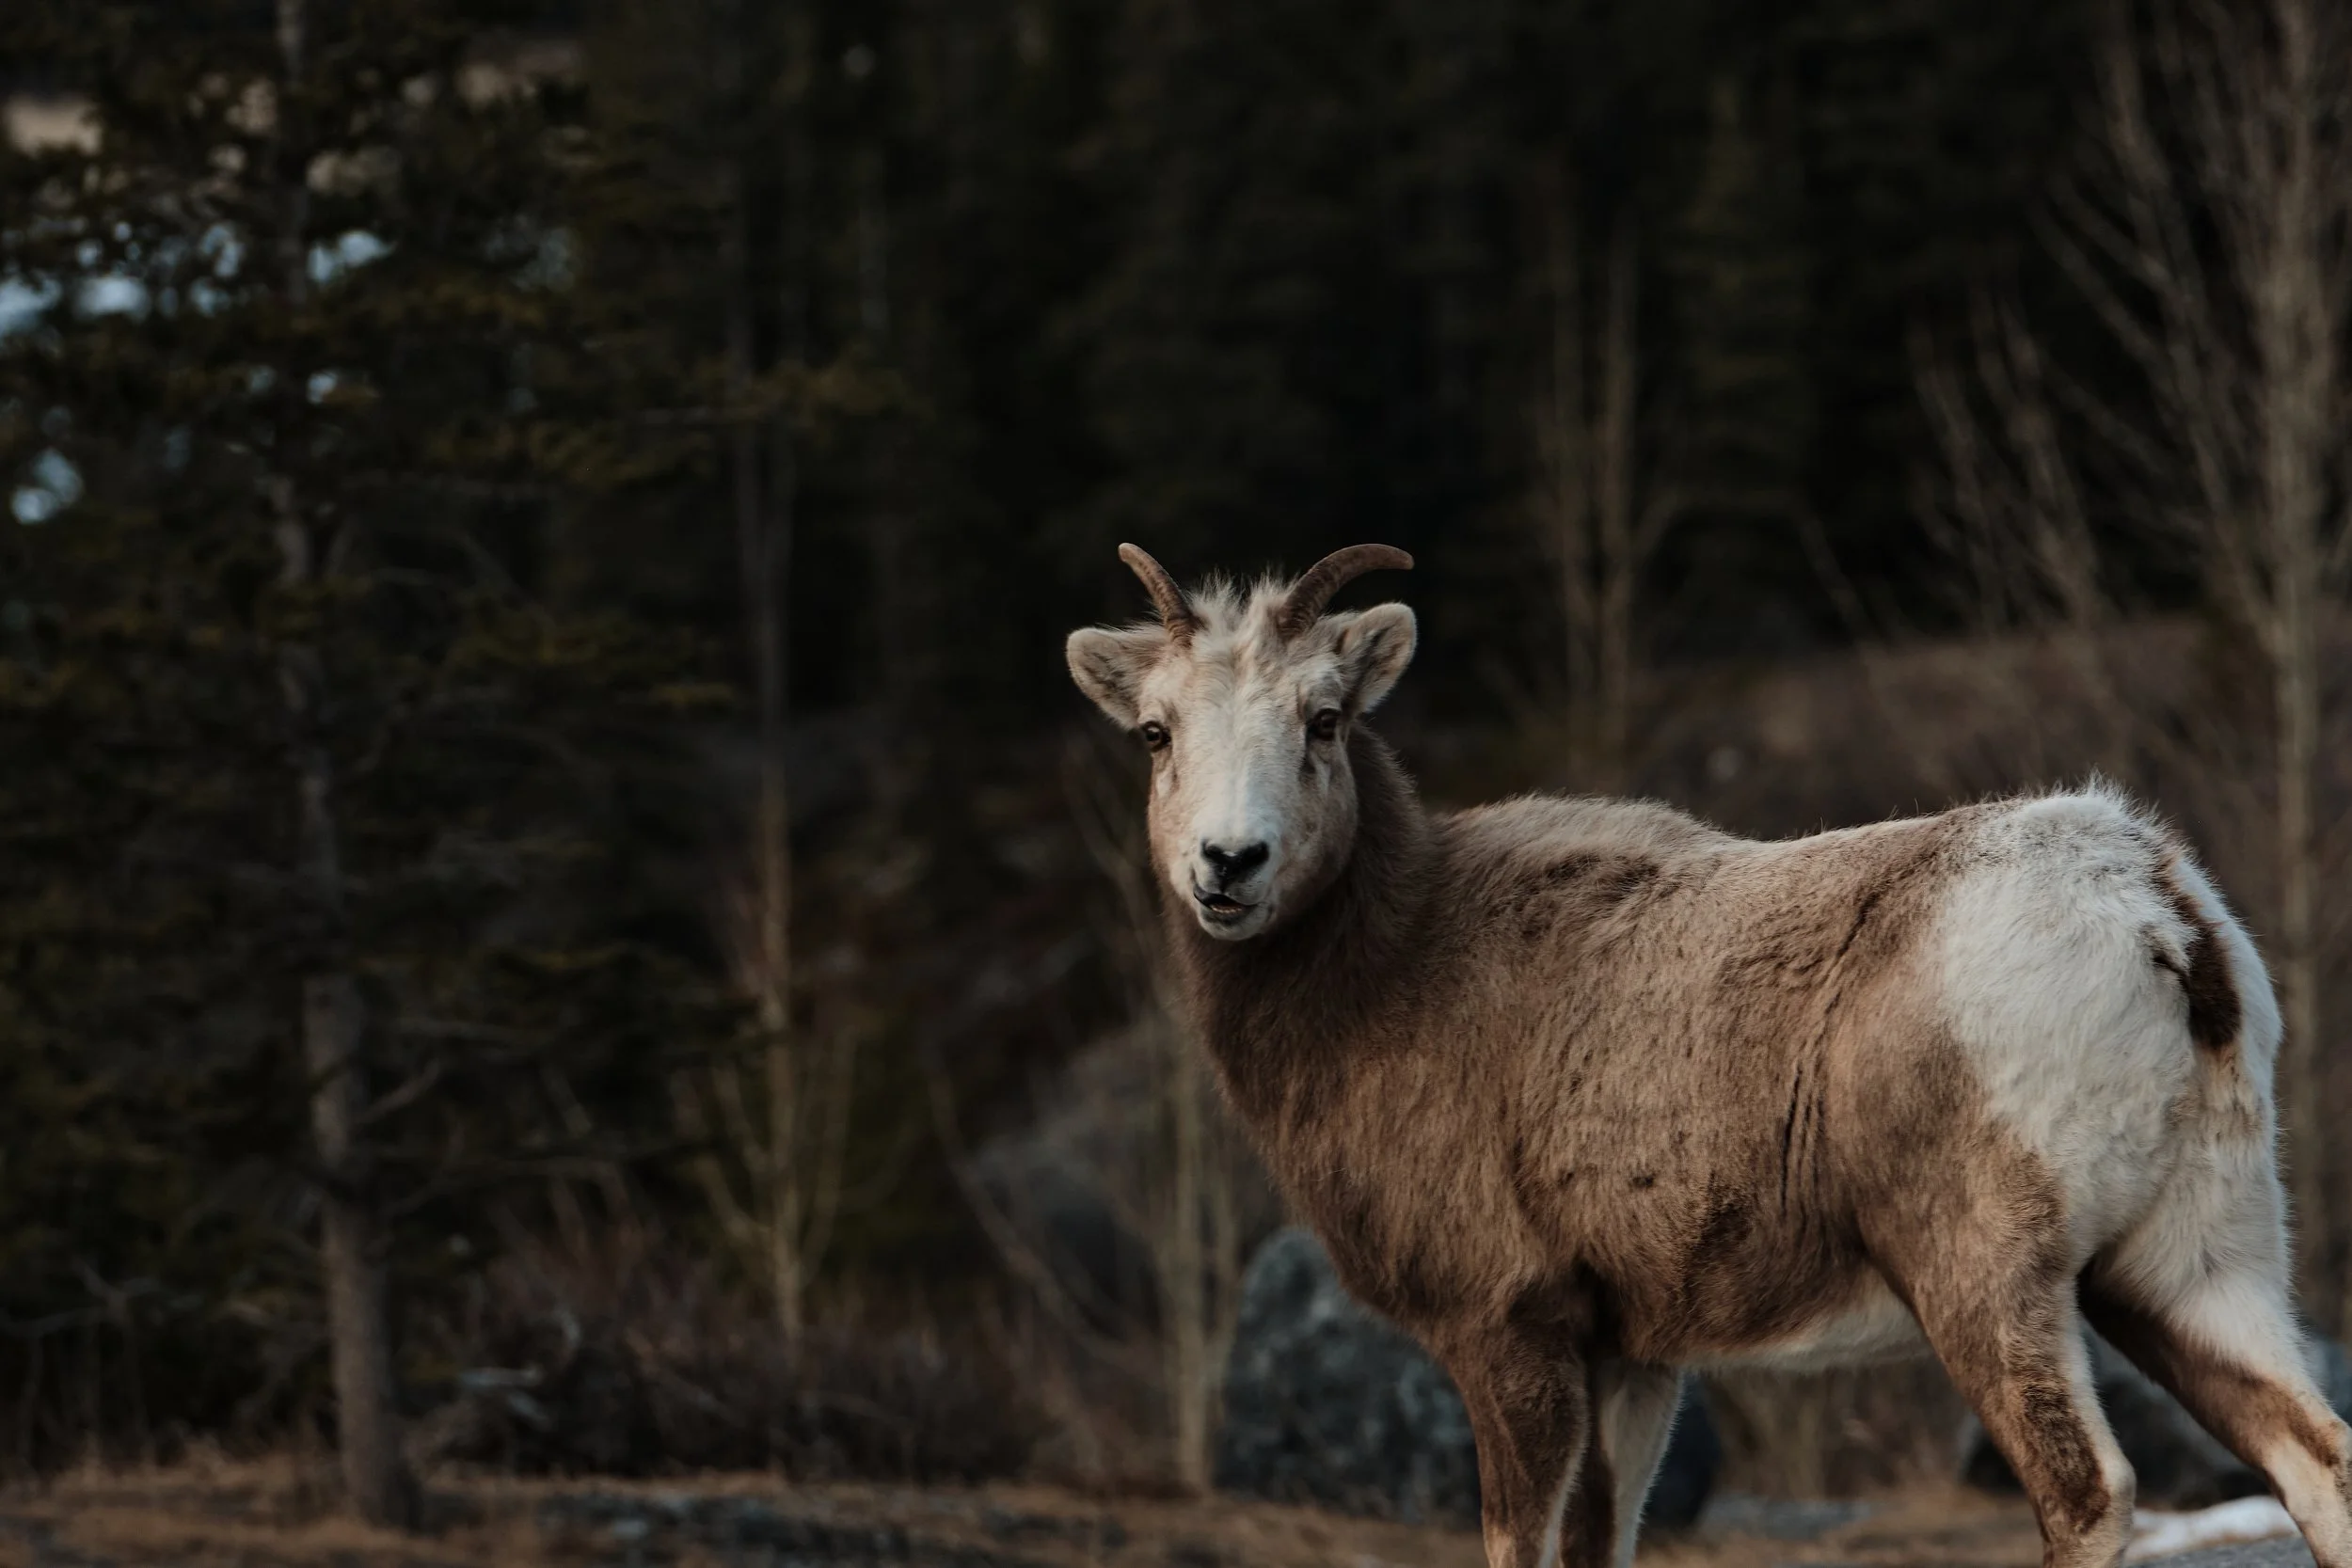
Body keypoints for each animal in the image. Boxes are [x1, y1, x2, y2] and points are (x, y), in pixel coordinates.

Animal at [1065, 544, 2352, 1568]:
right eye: (1156, 730)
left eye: (1323, 718)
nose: (1229, 863)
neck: (1396, 972)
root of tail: (2157, 912)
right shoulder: (1631, 1356)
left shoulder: (1509, 1329)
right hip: (2190, 1261)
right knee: (2317, 1455)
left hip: (1989, 1275)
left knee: (2087, 1491)